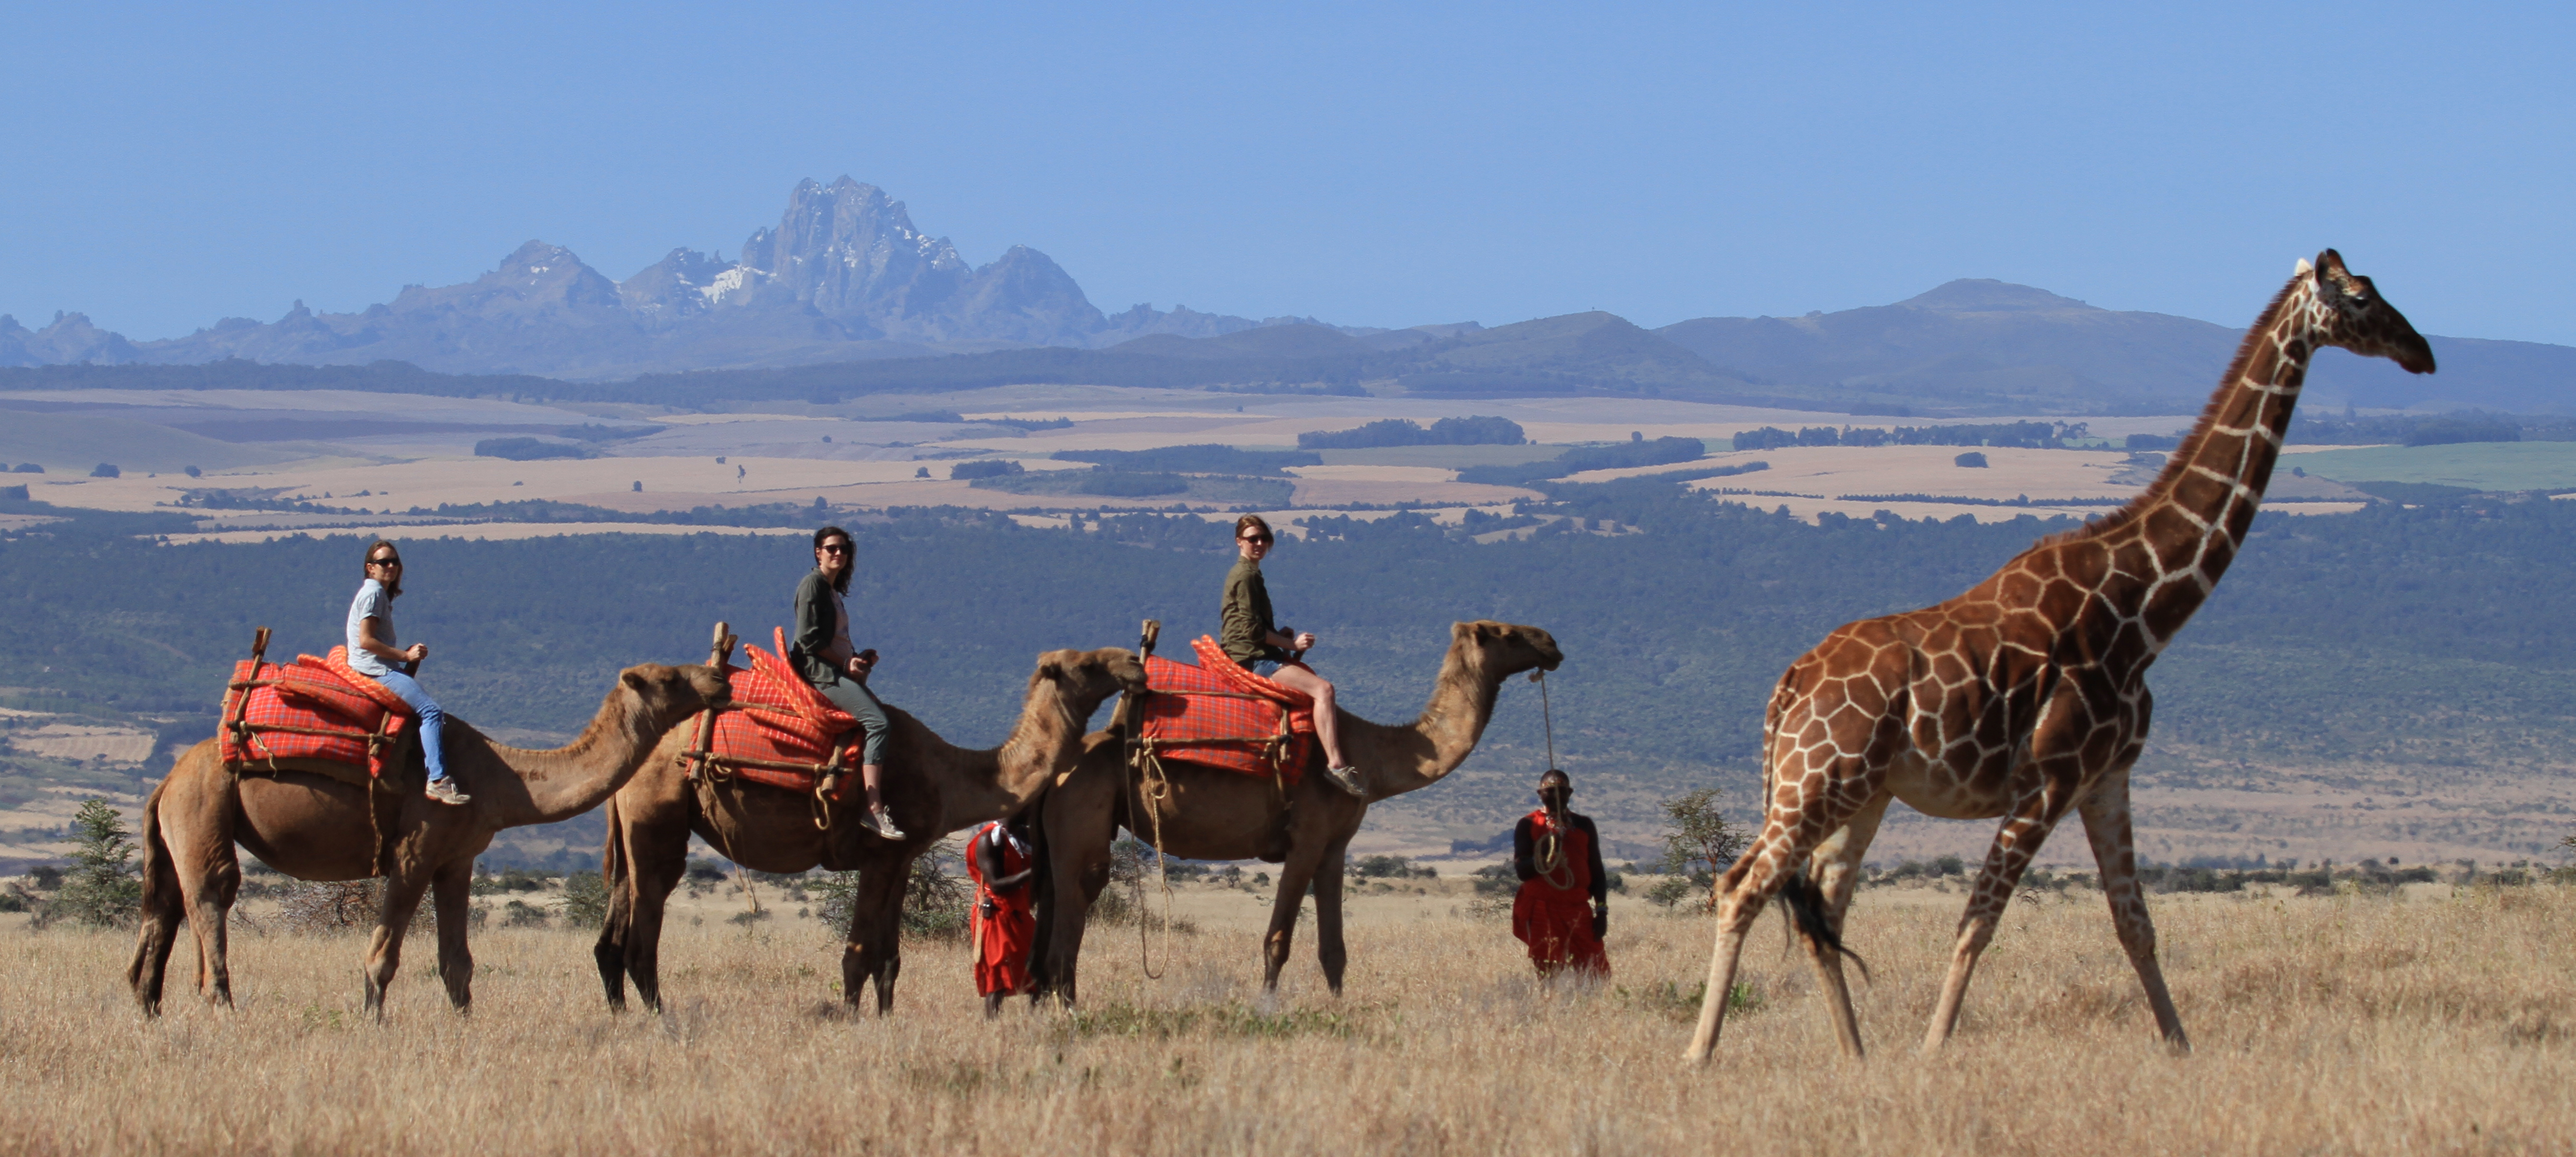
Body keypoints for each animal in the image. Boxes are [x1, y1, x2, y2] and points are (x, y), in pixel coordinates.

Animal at [128, 652, 733, 1017]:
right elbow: (383, 955)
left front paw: (464, 1029)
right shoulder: (415, 852)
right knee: (212, 894)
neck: (498, 776)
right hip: (204, 805)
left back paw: (148, 1010)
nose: (720, 678)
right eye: (670, 678)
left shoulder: (457, 860)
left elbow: (457, 963)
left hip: (179, 824)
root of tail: (167, 781)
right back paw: (222, 1009)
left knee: (164, 908)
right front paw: (372, 1024)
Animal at [591, 646, 1146, 1013]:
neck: (948, 773)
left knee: (611, 935)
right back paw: (660, 1018)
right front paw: (852, 1021)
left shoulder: (902, 857)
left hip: (637, 828)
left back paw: (622, 1017)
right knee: (643, 932)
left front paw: (885, 1019)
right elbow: (858, 952)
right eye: (1089, 664)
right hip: (659, 816)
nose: (1134, 664)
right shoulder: (879, 853)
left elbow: (890, 955)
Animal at [1035, 620, 1563, 1004]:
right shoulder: (1305, 839)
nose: (1553, 642)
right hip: (1082, 814)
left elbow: (1334, 947)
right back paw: (1067, 1010)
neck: (1370, 755)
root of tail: (1062, 767)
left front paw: (1339, 1008)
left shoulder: (1335, 846)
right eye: (1507, 633)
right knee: (1074, 911)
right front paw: (1267, 1007)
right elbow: (1278, 939)